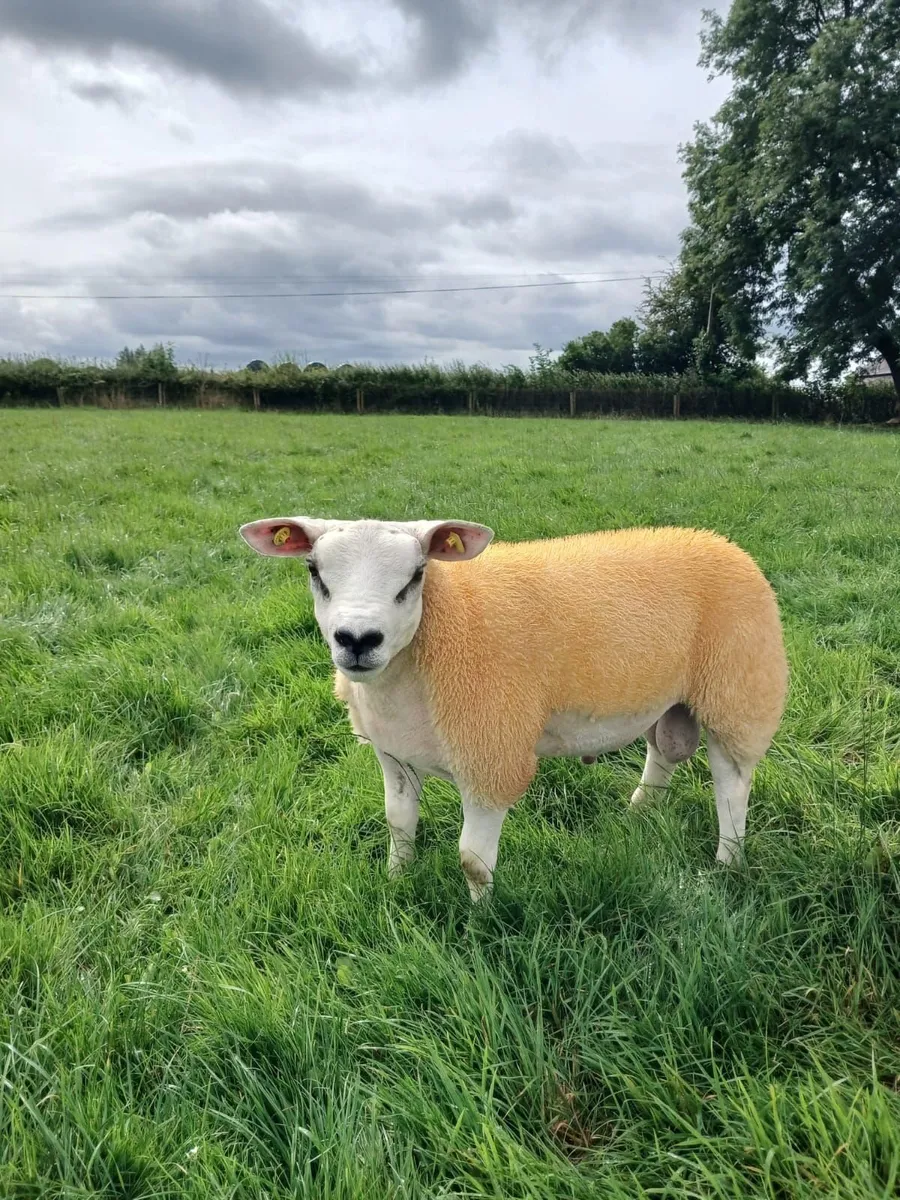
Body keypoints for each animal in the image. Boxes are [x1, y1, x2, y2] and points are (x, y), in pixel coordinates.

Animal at [239, 517, 788, 901]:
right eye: (314, 572)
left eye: (416, 576)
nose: (357, 640)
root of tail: (719, 541)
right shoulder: (393, 754)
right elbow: (398, 824)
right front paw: (397, 880)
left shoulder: (491, 753)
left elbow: (471, 860)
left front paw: (482, 920)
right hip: (666, 698)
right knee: (664, 754)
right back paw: (639, 811)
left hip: (739, 692)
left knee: (732, 786)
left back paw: (727, 861)